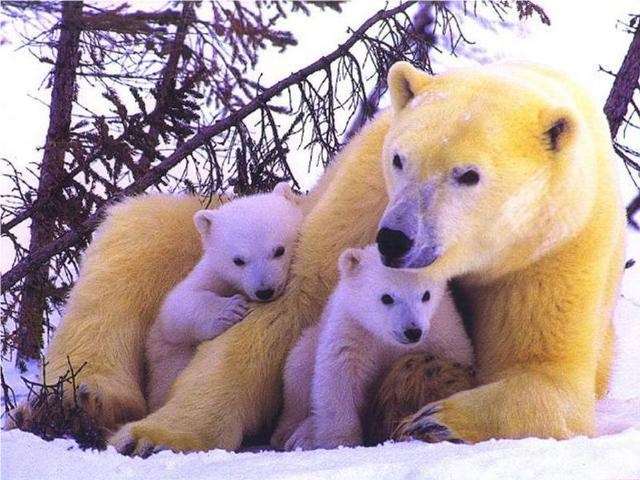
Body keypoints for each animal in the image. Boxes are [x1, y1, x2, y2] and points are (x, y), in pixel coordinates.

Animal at [13, 62, 624, 452]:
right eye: (400, 158)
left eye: (467, 174)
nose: (394, 240)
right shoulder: (363, 196)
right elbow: (287, 310)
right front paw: (153, 439)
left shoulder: (557, 248)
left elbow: (548, 377)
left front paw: (438, 419)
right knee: (138, 237)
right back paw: (78, 402)